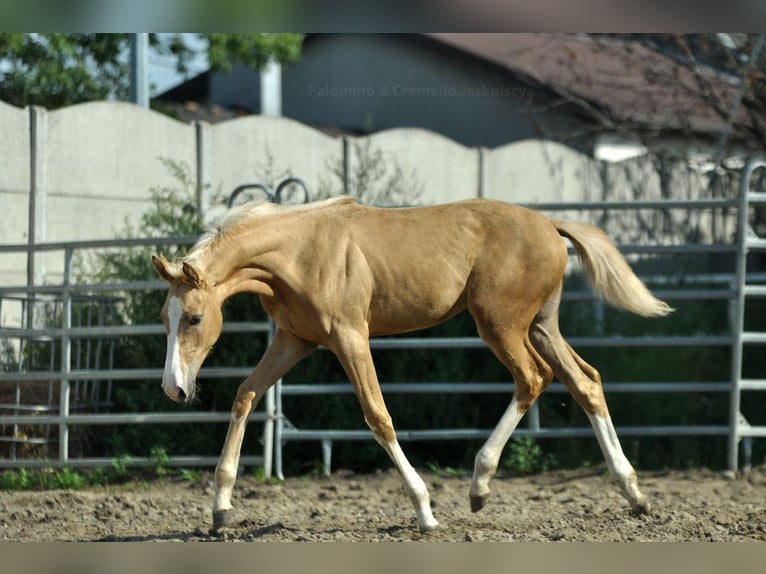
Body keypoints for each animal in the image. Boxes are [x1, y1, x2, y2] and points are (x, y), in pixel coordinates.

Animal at [154, 196, 672, 532]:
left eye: (195, 317)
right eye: (164, 318)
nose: (174, 389)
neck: (298, 252)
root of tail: (550, 224)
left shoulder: (350, 337)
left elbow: (378, 417)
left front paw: (425, 511)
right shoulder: (294, 340)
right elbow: (245, 395)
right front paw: (220, 509)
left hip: (500, 324)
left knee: (533, 378)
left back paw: (480, 485)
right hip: (542, 326)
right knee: (586, 382)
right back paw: (634, 494)